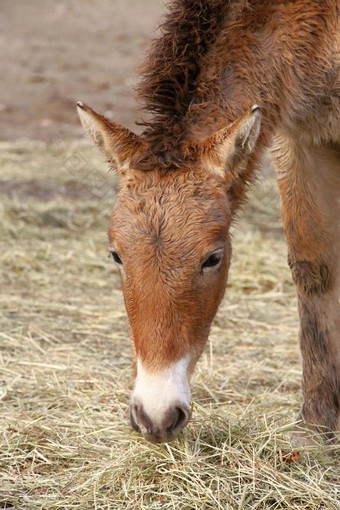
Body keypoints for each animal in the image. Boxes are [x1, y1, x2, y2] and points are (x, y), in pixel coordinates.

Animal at [77, 0, 340, 442]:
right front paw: (319, 426)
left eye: (213, 258)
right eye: (116, 254)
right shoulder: (301, 137)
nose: (156, 416)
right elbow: (313, 267)